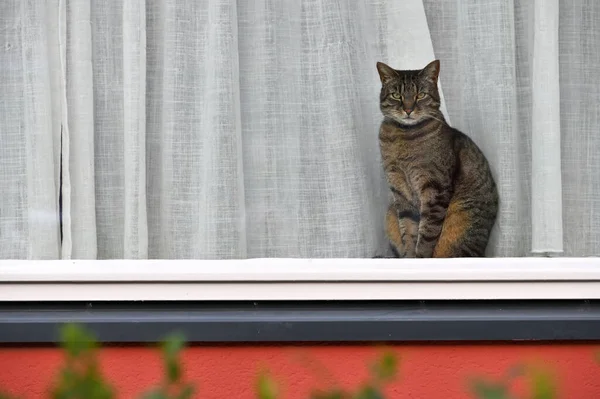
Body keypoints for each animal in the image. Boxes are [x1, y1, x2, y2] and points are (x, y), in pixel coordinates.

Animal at [378, 59, 500, 260]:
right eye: (396, 95)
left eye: (420, 95)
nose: (408, 109)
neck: (404, 137)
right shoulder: (399, 190)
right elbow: (408, 228)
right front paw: (409, 256)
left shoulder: (435, 187)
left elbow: (427, 232)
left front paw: (420, 257)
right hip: (390, 213)